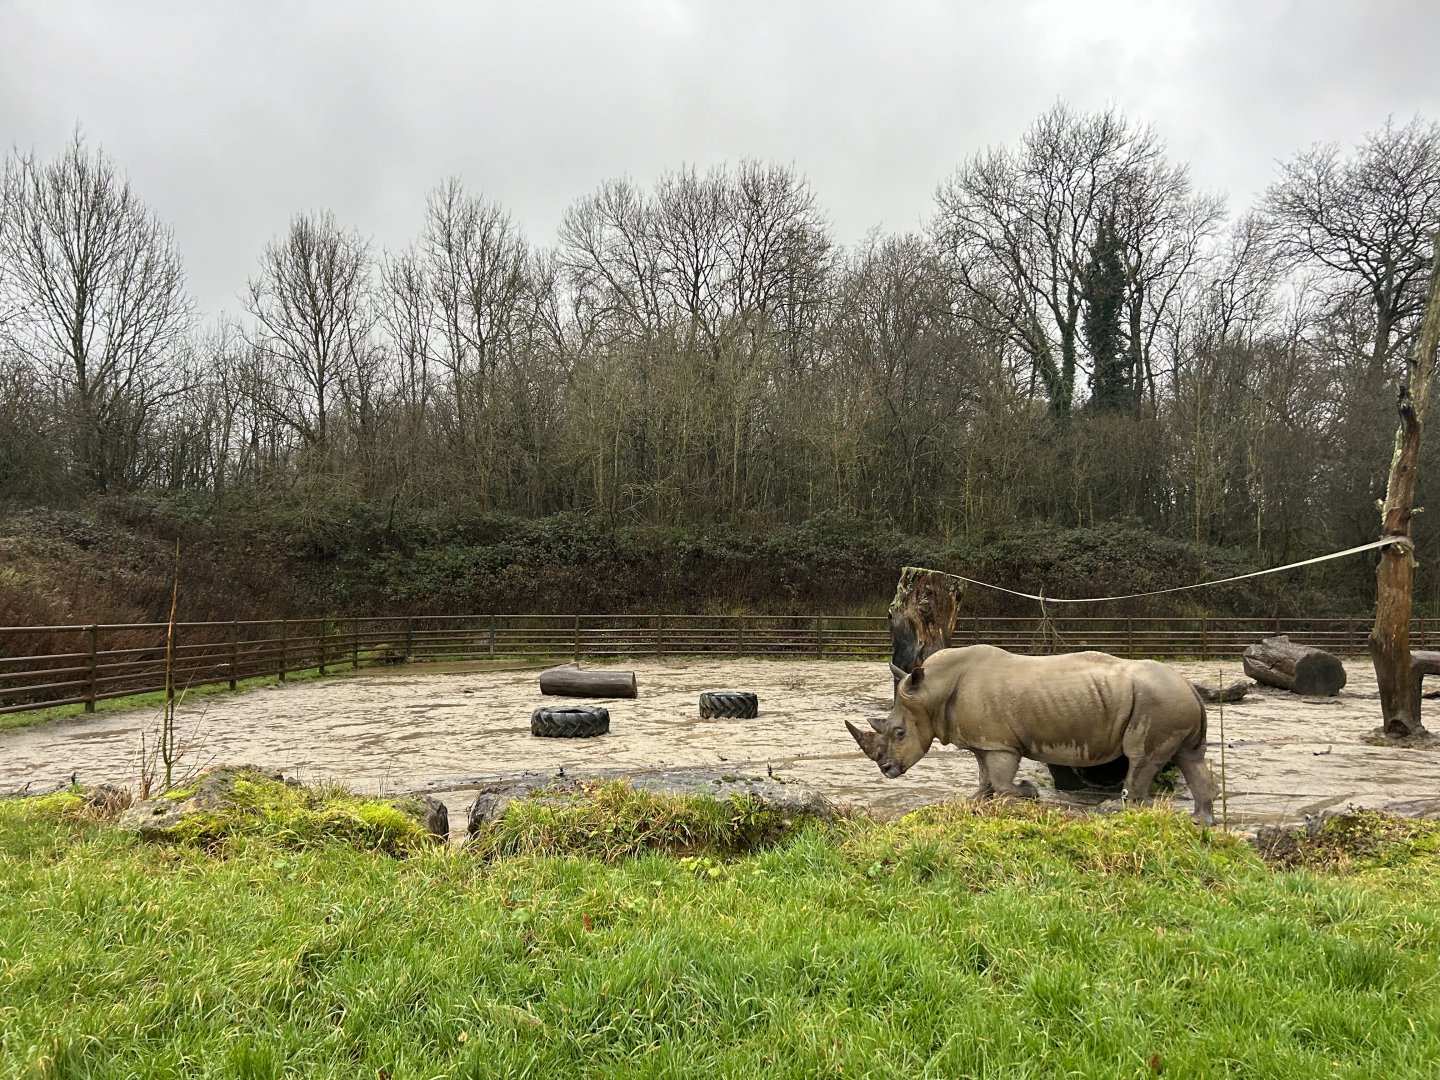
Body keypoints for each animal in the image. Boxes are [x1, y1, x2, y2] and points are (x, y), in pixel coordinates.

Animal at [846, 644, 1218, 825]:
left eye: (899, 733)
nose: (886, 770)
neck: (932, 692)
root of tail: (1190, 686)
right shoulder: (984, 741)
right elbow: (984, 777)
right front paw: (972, 802)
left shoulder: (1001, 744)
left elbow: (1000, 780)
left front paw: (1029, 792)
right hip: (1171, 699)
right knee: (1188, 757)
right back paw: (1201, 822)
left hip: (1159, 700)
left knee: (1141, 758)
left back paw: (1111, 811)